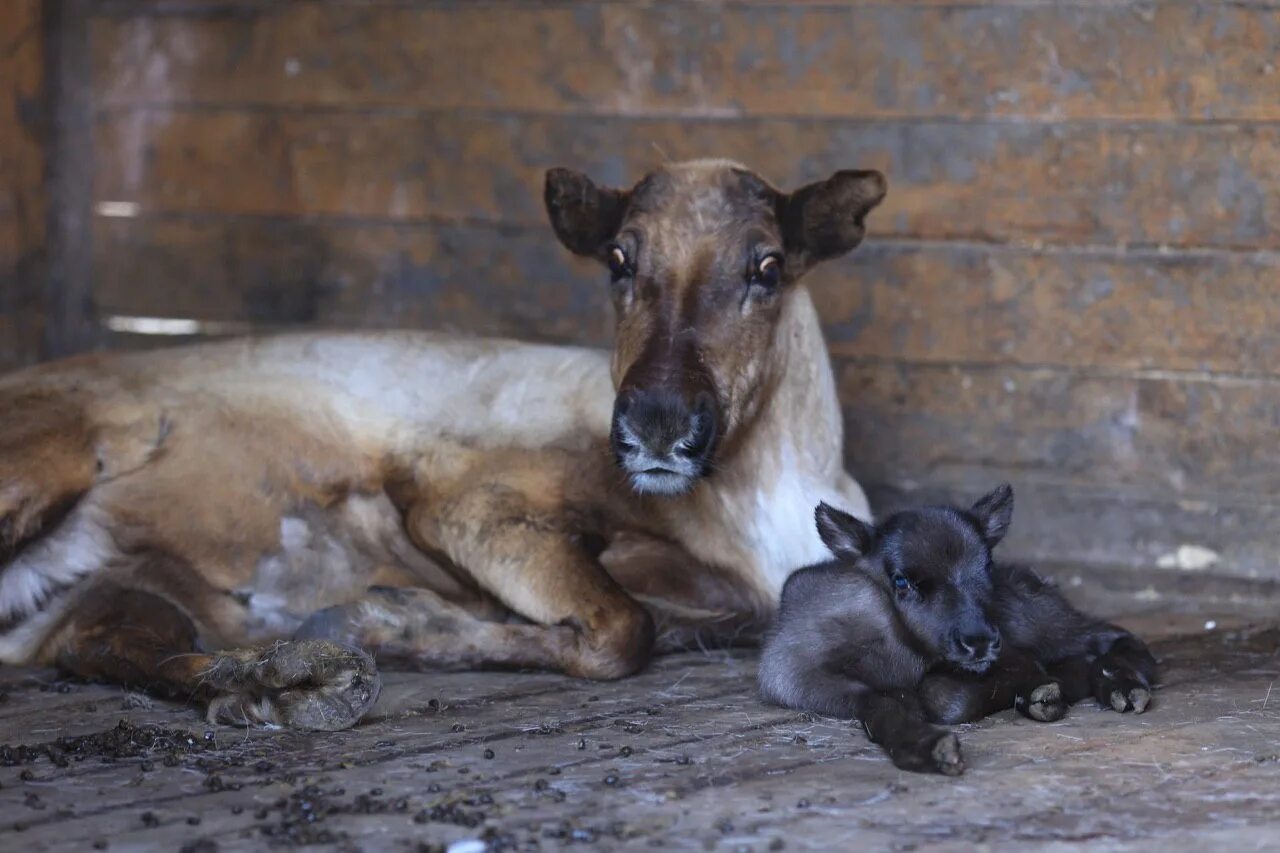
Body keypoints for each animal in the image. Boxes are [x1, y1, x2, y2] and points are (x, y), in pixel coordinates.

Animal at [752, 484, 1157, 768]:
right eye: (901, 581)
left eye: (986, 566)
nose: (978, 641)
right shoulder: (790, 672)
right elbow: (882, 700)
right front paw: (928, 748)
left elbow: (941, 694)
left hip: (1038, 619)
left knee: (1116, 638)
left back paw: (1120, 686)